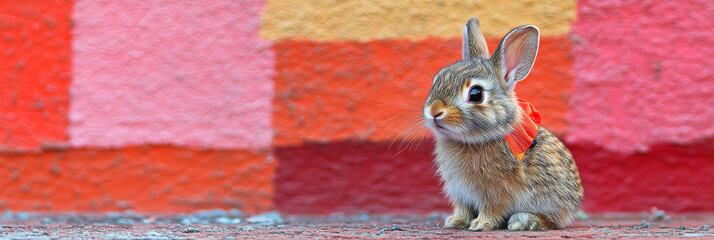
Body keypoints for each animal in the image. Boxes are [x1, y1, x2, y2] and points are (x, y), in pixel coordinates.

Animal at [420, 16, 580, 231]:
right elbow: (463, 208)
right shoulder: (459, 192)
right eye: (436, 80)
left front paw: (481, 224)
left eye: (476, 94)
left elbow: (492, 208)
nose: (434, 111)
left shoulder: (495, 191)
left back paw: (523, 221)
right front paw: (455, 221)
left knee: (552, 221)